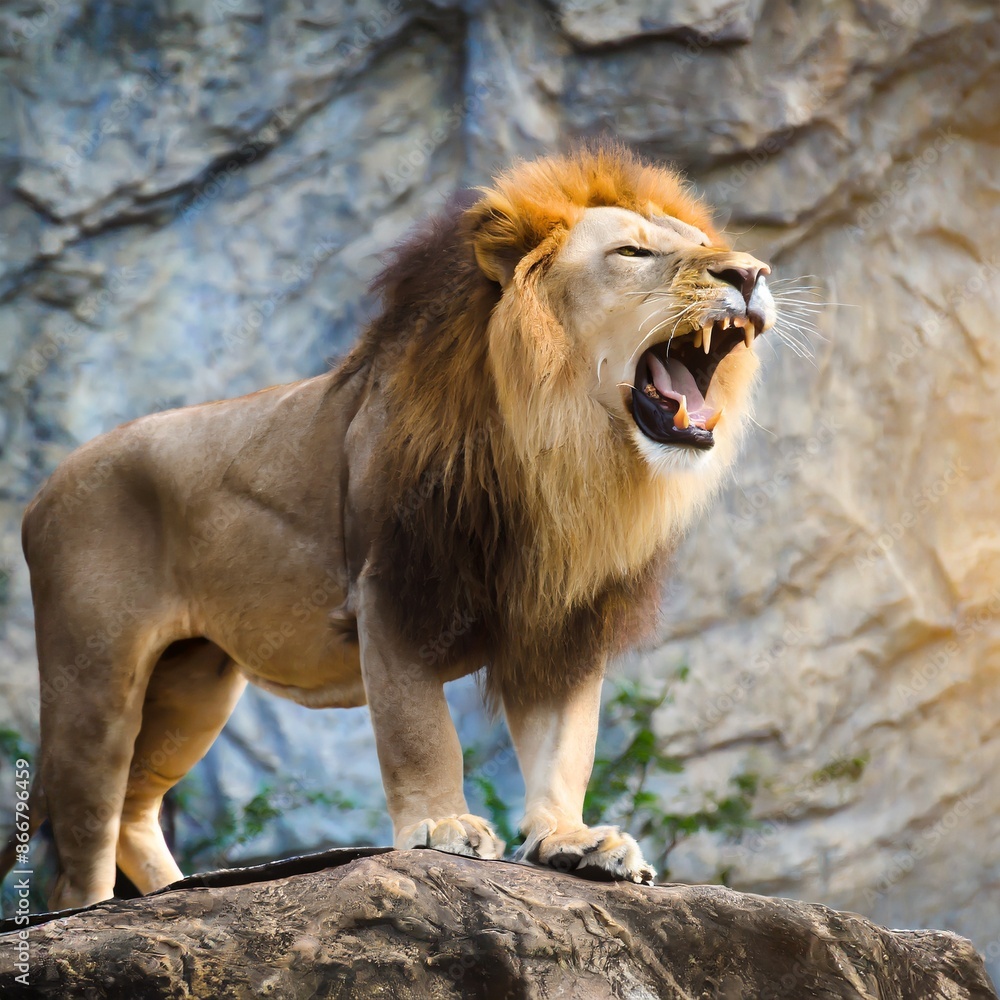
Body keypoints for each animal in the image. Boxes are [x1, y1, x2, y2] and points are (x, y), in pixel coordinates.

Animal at [3, 143, 775, 909]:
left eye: (703, 244)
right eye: (633, 252)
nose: (750, 272)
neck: (562, 455)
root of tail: (42, 494)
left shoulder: (563, 621)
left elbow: (564, 745)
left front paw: (573, 841)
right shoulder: (395, 588)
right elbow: (419, 728)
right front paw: (442, 826)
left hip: (192, 685)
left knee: (135, 810)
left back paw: (176, 893)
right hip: (96, 680)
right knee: (84, 839)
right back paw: (100, 911)